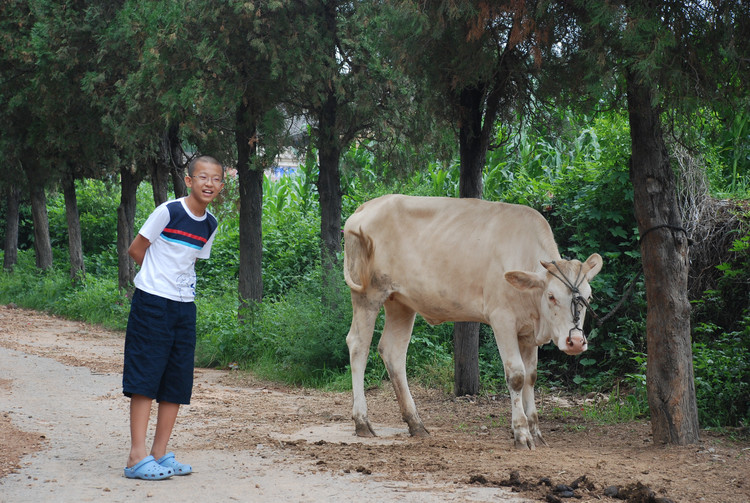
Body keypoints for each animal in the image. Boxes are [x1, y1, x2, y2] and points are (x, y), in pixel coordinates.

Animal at [344, 195, 604, 450]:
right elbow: (517, 375)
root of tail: (367, 206)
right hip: (368, 294)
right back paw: (362, 422)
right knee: (358, 345)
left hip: (401, 302)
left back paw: (416, 423)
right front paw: (521, 433)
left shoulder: (528, 332)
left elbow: (531, 376)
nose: (576, 342)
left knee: (393, 352)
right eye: (551, 296)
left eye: (589, 297)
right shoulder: (502, 319)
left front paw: (536, 432)